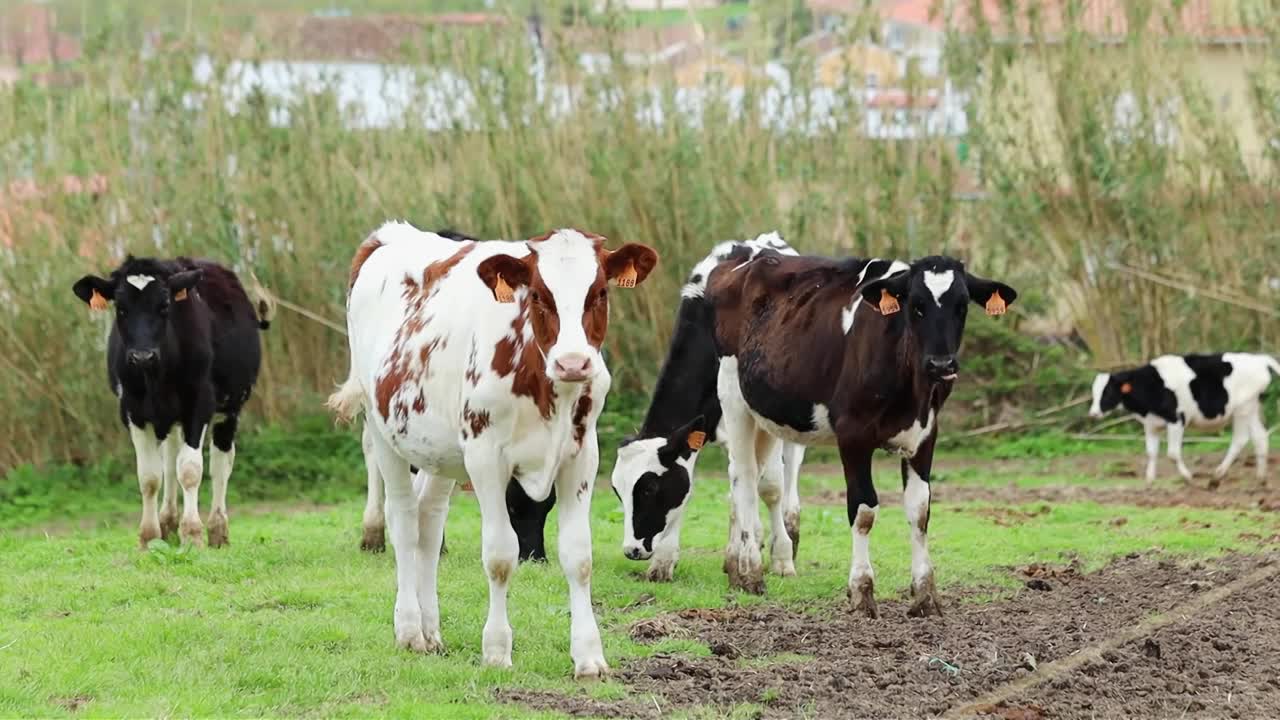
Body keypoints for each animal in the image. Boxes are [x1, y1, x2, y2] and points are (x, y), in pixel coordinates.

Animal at [73, 254, 270, 545]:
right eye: (121, 308)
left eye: (164, 305)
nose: (142, 356)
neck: (157, 376)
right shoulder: (132, 410)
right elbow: (149, 476)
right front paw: (149, 535)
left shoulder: (199, 405)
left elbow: (190, 470)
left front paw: (192, 533)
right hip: (170, 419)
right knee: (169, 458)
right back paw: (167, 521)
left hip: (232, 406)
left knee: (221, 463)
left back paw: (217, 529)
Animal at [327, 219, 660, 671]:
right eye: (537, 294)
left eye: (600, 293)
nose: (573, 363)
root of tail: (393, 233)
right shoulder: (486, 459)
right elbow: (501, 556)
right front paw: (497, 650)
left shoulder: (581, 457)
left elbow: (579, 556)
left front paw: (589, 656)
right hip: (385, 433)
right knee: (404, 521)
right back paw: (410, 630)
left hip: (441, 450)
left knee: (429, 522)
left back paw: (431, 630)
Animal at [606, 233, 803, 579]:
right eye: (618, 490)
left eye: (649, 489)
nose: (632, 550)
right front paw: (665, 560)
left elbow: (771, 487)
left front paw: (781, 559)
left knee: (787, 471)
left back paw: (788, 531)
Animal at [706, 249, 1013, 614]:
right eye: (916, 304)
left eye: (962, 305)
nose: (941, 364)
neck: (911, 391)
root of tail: (752, 258)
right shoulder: (853, 435)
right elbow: (864, 510)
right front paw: (862, 590)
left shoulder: (926, 435)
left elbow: (920, 511)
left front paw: (925, 594)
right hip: (732, 395)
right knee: (744, 478)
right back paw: (751, 571)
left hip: (764, 413)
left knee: (749, 478)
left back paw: (735, 567)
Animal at [1090, 353, 1280, 486]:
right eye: (1094, 392)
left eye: (1107, 392)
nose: (1093, 413)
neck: (1152, 384)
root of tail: (1259, 359)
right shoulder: (1151, 424)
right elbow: (1151, 452)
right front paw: (1150, 480)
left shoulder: (1176, 419)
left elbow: (1173, 454)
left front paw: (1188, 477)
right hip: (1251, 408)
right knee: (1260, 437)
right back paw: (1261, 478)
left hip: (1242, 409)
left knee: (1241, 439)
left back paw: (1217, 475)